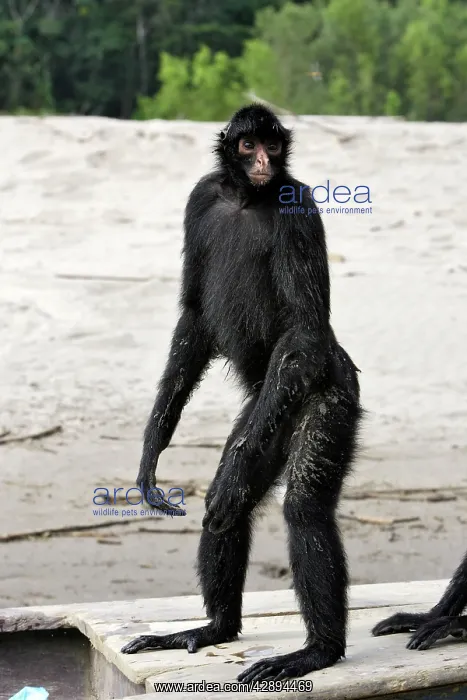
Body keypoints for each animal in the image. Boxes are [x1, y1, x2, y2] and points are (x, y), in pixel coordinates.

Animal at [121, 104, 363, 682]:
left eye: (272, 147)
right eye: (248, 144)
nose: (262, 163)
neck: (246, 199)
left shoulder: (298, 206)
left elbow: (302, 327)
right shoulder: (202, 195)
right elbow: (193, 312)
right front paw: (152, 447)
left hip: (319, 395)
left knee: (299, 505)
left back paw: (318, 651)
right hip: (267, 414)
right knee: (230, 499)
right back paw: (215, 628)